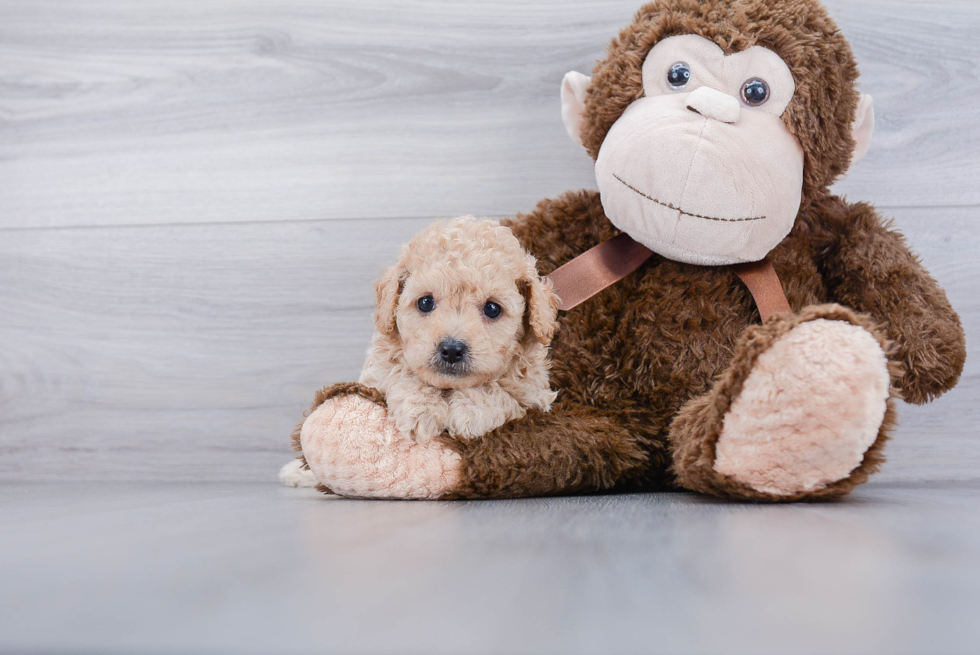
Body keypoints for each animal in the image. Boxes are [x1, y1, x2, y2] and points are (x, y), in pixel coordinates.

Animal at [358, 217, 560, 440]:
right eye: (425, 302)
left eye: (492, 308)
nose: (452, 350)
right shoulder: (374, 374)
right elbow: (400, 371)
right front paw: (420, 408)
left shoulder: (534, 395)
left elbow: (502, 392)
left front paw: (472, 411)